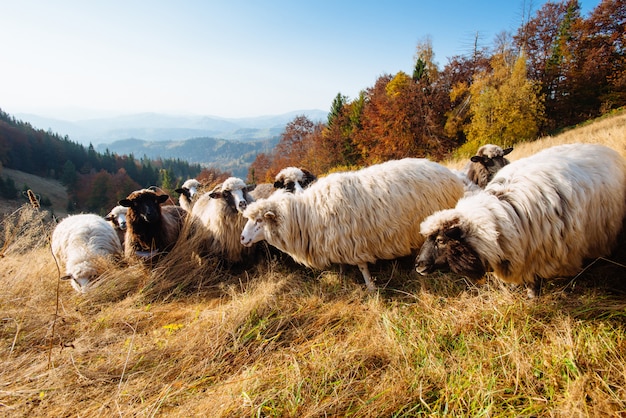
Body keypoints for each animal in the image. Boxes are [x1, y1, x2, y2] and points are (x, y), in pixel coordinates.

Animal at [239, 158, 464, 290]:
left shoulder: (354, 242)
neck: (305, 213)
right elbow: (342, 266)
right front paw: (342, 277)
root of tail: (448, 172)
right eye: (287, 185)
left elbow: (363, 267)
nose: (242, 238)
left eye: (259, 220)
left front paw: (371, 288)